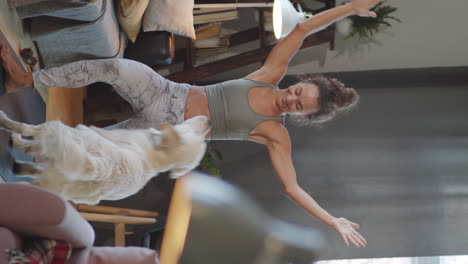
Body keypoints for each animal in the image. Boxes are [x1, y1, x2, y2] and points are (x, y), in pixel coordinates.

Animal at [0, 110, 209, 205]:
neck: (156, 158)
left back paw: (6, 123)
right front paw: (20, 166)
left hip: (60, 129)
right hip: (56, 188)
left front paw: (18, 148)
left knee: (27, 128)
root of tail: (102, 169)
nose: (208, 121)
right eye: (198, 133)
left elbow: (30, 147)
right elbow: (33, 164)